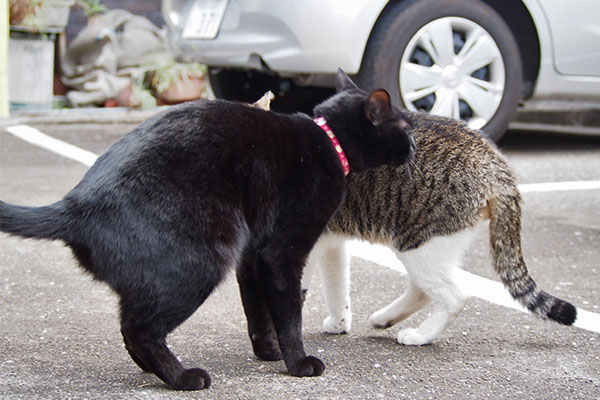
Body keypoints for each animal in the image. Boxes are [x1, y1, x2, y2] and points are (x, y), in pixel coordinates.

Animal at [0, 70, 412, 390]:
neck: (329, 141)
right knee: (140, 330)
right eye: (406, 128)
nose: (412, 145)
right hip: (205, 259)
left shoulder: (253, 255)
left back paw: (157, 371)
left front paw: (268, 352)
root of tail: (78, 202)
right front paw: (298, 364)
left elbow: (258, 310)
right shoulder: (282, 252)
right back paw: (183, 378)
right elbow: (288, 312)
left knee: (130, 326)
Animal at [304, 111, 576, 346]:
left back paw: (420, 335)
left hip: (419, 241)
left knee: (454, 296)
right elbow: (336, 286)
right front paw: (339, 322)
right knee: (423, 290)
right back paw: (385, 318)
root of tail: (493, 159)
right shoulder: (329, 243)